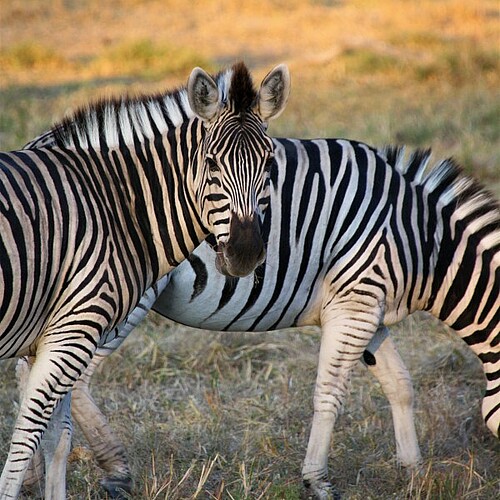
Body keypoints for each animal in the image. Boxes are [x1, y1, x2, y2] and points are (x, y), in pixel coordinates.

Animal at [0, 62, 292, 500]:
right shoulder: (74, 331)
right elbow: (24, 441)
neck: (115, 207)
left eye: (269, 165)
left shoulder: (50, 337)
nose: (244, 253)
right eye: (211, 163)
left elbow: (56, 439)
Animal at [17, 133, 498, 496]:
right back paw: (116, 470)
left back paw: (32, 478)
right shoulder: (355, 303)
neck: (423, 240)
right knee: (72, 380)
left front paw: (414, 472)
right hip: (115, 298)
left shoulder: (369, 310)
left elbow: (400, 384)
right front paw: (317, 481)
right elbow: (329, 394)